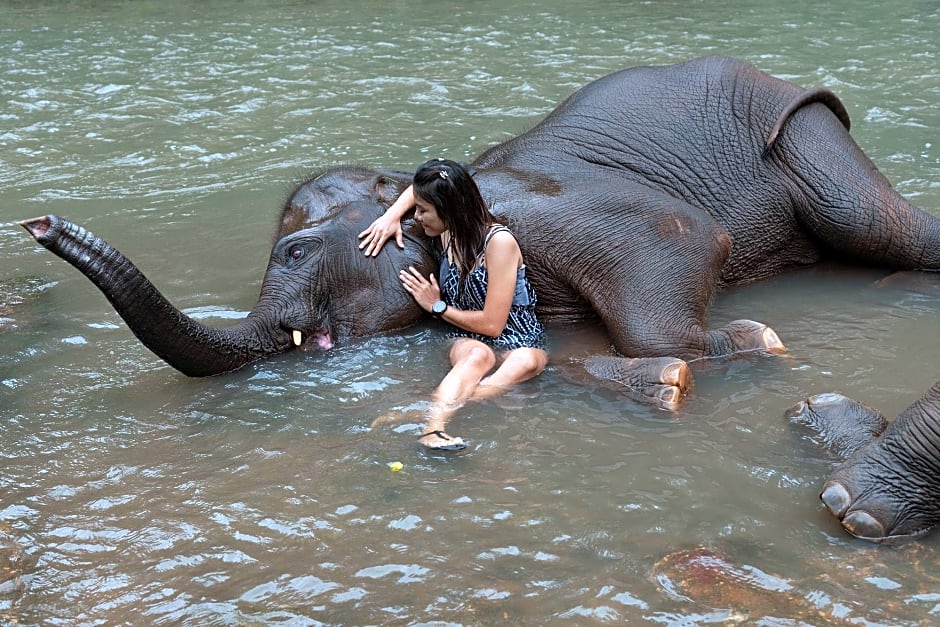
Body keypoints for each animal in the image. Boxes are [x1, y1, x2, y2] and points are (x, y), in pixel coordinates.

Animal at [19, 55, 940, 409]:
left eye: (293, 250)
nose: (38, 219)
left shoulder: (558, 214)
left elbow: (688, 242)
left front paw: (749, 340)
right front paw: (665, 380)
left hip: (808, 135)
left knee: (883, 226)